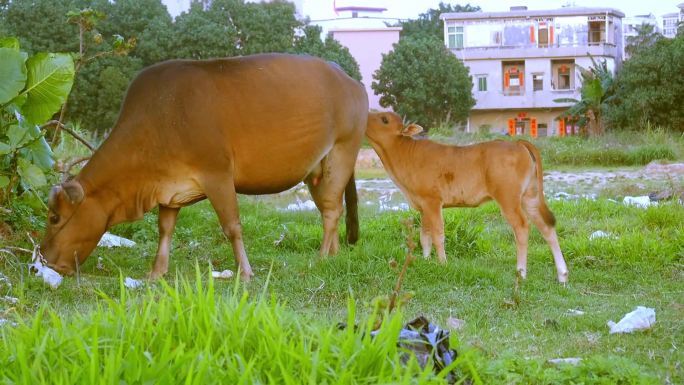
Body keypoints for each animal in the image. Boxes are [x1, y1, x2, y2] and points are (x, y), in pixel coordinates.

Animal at [40, 53, 368, 280]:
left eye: (55, 218)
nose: (44, 260)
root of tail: (351, 81)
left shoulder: (217, 174)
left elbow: (232, 226)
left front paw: (245, 272)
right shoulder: (169, 188)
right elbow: (165, 228)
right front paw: (156, 272)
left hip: (342, 151)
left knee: (332, 211)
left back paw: (322, 257)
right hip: (316, 171)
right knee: (331, 208)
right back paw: (335, 254)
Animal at [366, 111, 568, 282]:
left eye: (384, 119)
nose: (365, 114)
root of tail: (517, 143)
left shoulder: (432, 201)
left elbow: (438, 233)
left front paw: (442, 264)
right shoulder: (422, 205)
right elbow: (424, 236)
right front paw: (426, 261)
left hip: (508, 197)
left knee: (522, 226)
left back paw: (521, 272)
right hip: (530, 195)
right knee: (546, 226)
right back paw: (562, 275)